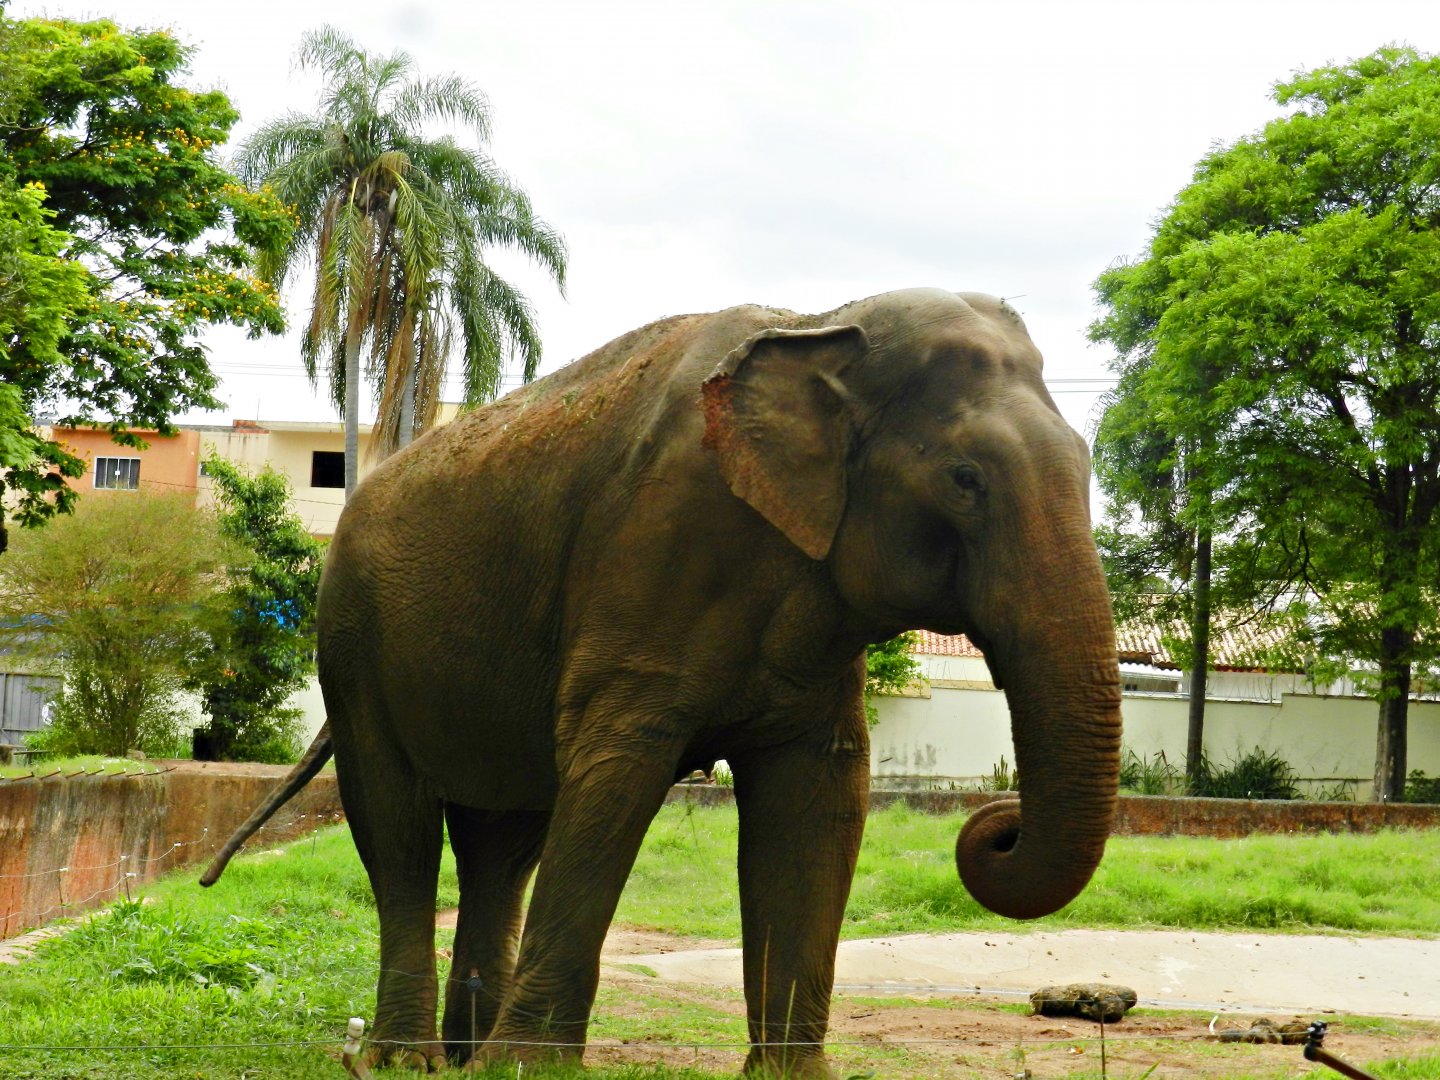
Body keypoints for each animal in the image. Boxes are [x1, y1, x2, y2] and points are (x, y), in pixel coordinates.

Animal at [202, 287, 1122, 1077]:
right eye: (965, 480)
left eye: (1087, 464)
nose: (994, 827)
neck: (819, 321)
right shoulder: (652, 551)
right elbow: (615, 775)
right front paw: (529, 1069)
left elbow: (820, 798)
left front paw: (792, 1075)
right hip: (354, 649)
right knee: (398, 825)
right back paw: (411, 1059)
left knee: (505, 840)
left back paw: (465, 1055)